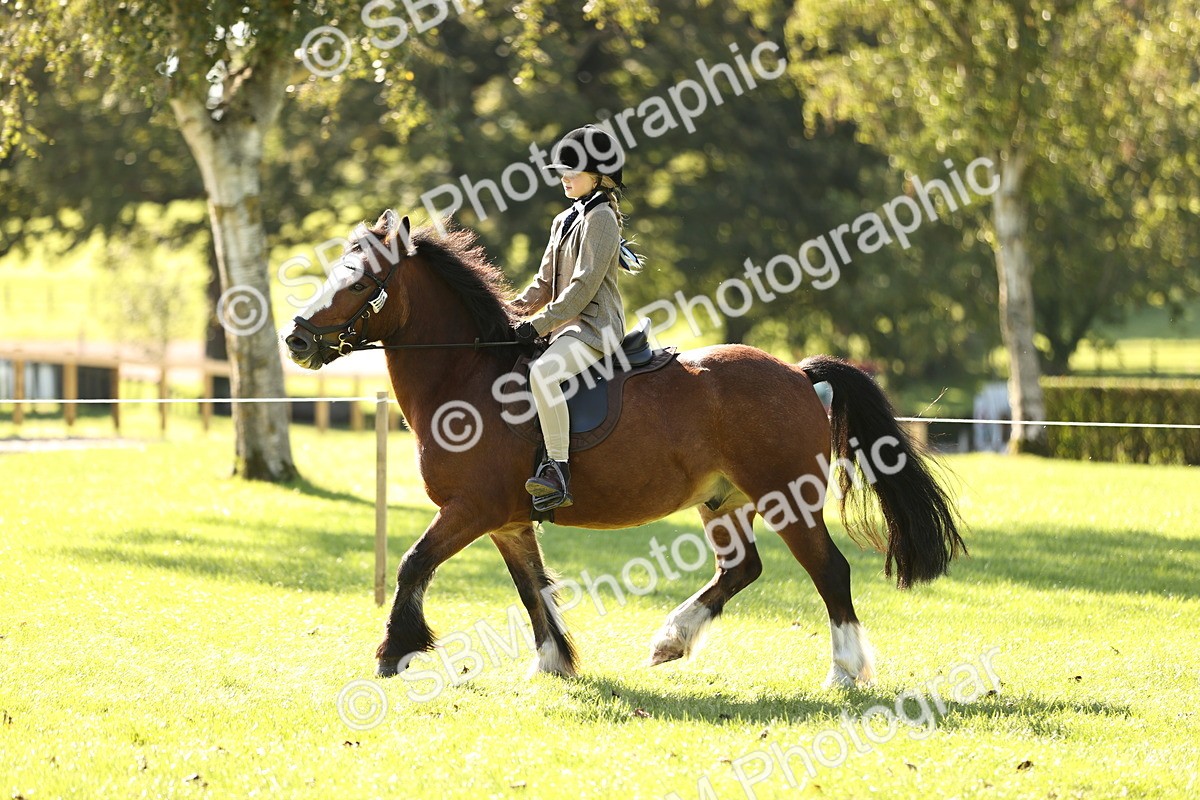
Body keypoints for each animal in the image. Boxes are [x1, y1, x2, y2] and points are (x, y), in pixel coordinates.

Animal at [282, 210, 965, 687]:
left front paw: (394, 653)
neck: (465, 378)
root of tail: (798, 374)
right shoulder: (506, 521)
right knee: (741, 568)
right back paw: (671, 641)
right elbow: (533, 589)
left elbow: (413, 564)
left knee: (830, 571)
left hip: (786, 500)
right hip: (722, 502)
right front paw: (554, 664)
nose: (296, 339)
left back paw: (845, 671)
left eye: (361, 281)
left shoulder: (472, 510)